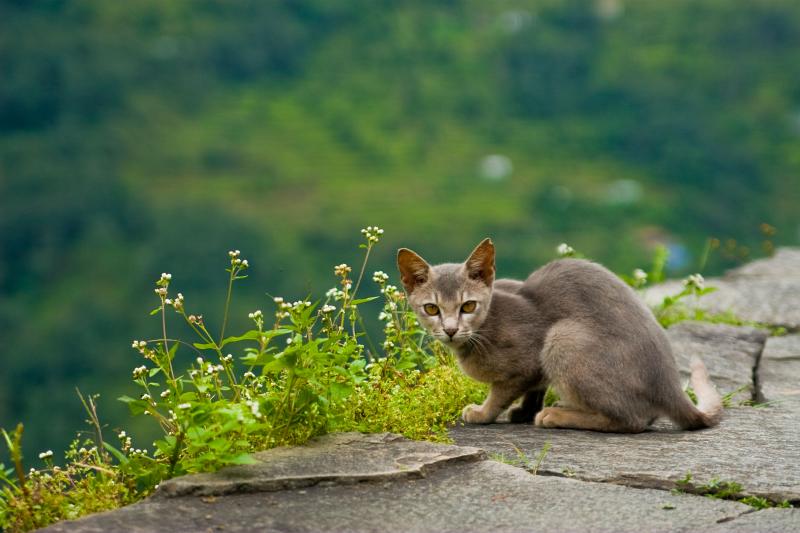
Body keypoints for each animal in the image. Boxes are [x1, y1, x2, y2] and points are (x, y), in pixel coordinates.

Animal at [396, 239, 720, 430]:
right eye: (432, 309)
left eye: (468, 306)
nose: (450, 329)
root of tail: (671, 387)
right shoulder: (536, 370)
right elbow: (535, 389)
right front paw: (525, 411)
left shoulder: (527, 359)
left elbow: (499, 394)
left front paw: (483, 413)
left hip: (562, 337)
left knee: (633, 420)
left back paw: (558, 415)